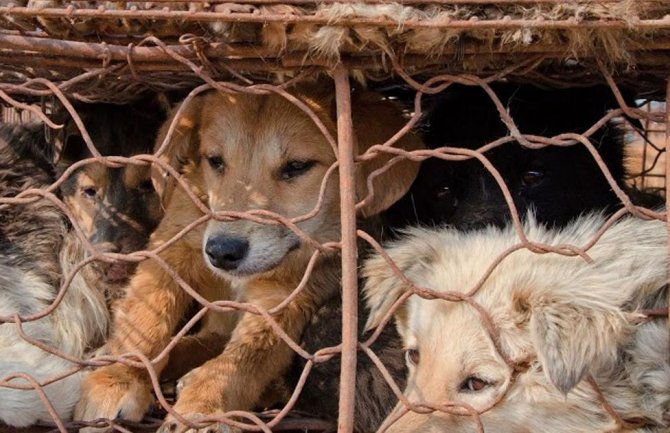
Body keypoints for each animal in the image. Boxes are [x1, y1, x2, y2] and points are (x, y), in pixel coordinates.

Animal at [75, 82, 426, 430]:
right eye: (215, 161)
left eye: (297, 166)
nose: (222, 251)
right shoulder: (173, 241)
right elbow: (147, 314)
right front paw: (118, 377)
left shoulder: (287, 294)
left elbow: (246, 356)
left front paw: (205, 403)